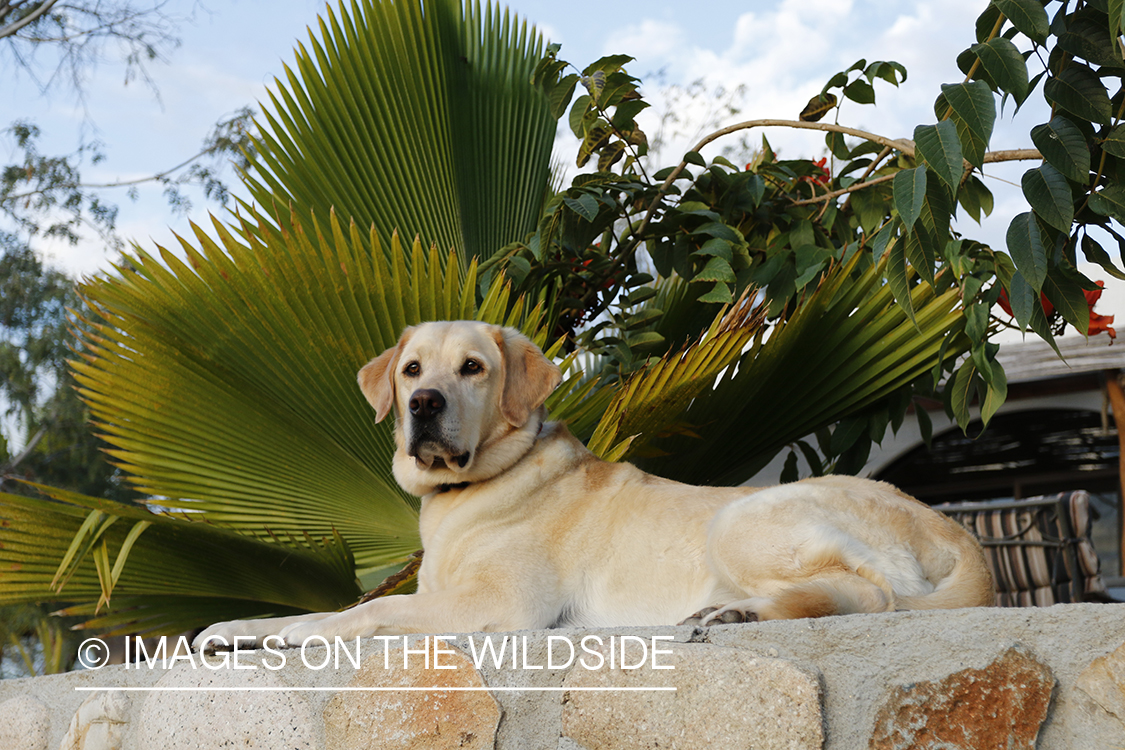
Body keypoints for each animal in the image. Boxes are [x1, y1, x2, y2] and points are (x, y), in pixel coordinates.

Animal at [195, 319, 994, 647]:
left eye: (472, 368)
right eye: (412, 369)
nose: (422, 405)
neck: (472, 489)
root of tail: (944, 521)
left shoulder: (501, 607)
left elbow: (366, 611)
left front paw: (299, 632)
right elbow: (331, 608)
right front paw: (233, 630)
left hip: (740, 519)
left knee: (874, 595)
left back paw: (743, 612)